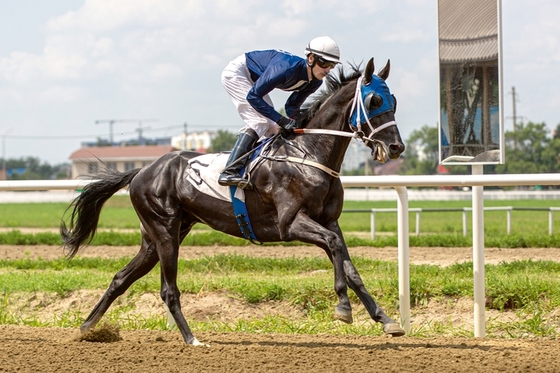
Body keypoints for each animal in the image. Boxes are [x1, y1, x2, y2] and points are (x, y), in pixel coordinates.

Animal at [61, 58, 406, 346]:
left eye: (394, 101)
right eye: (374, 100)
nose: (396, 147)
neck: (308, 154)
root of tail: (142, 170)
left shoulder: (329, 221)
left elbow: (349, 266)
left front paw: (386, 319)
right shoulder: (291, 223)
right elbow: (334, 249)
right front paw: (343, 307)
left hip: (158, 237)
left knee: (121, 278)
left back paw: (86, 329)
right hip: (164, 231)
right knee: (168, 290)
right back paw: (192, 339)